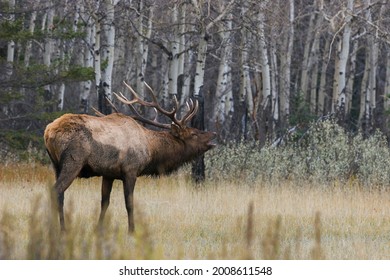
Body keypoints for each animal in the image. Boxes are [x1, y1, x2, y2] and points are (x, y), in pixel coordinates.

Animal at [45, 82, 216, 232]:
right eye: (194, 133)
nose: (213, 133)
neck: (151, 151)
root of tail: (49, 132)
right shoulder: (130, 171)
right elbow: (130, 203)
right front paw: (132, 230)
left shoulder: (108, 174)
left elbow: (104, 202)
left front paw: (99, 229)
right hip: (73, 161)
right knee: (56, 190)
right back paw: (59, 229)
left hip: (55, 165)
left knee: (59, 194)